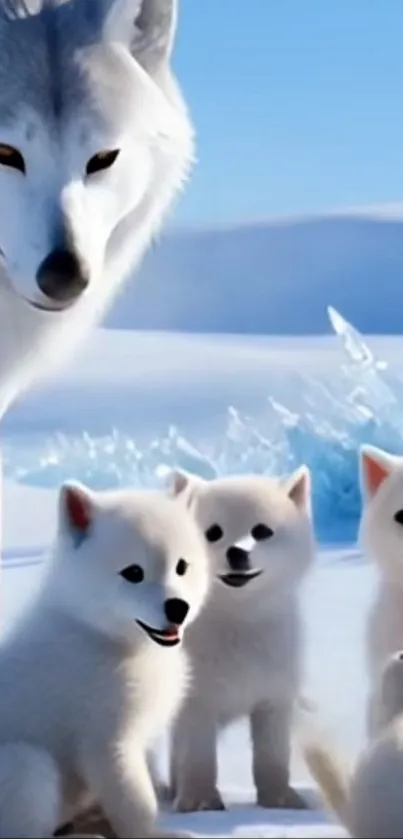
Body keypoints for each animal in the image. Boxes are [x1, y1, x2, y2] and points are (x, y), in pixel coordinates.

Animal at [0, 481, 209, 838]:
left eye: (182, 566)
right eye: (134, 572)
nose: (178, 607)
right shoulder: (106, 739)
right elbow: (135, 800)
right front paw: (156, 833)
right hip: (27, 765)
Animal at [167, 467, 315, 812]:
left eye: (261, 530)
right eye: (213, 532)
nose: (236, 551)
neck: (238, 621)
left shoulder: (274, 692)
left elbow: (272, 754)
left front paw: (281, 800)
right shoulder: (195, 699)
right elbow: (197, 754)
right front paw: (200, 802)